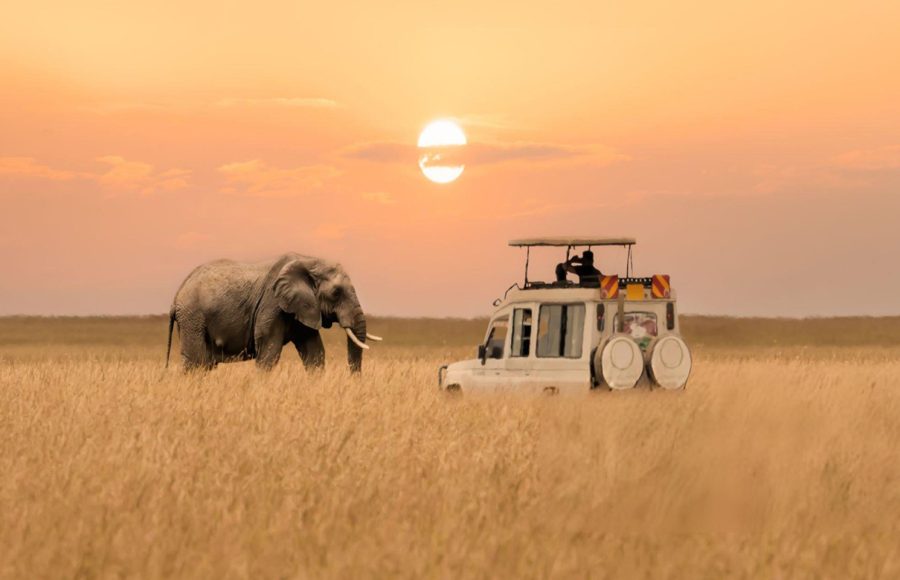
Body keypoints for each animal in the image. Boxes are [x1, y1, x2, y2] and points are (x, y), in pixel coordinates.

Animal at [165, 253, 380, 372]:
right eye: (336, 293)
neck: (309, 261)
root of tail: (176, 296)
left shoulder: (304, 308)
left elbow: (315, 353)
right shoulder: (272, 304)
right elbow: (269, 352)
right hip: (193, 317)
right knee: (195, 362)